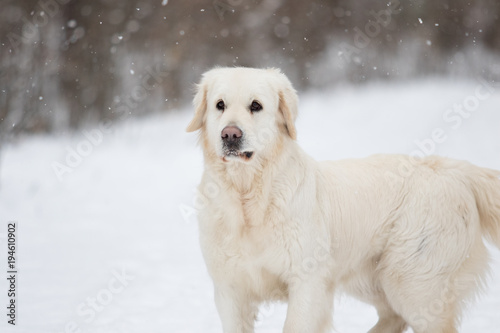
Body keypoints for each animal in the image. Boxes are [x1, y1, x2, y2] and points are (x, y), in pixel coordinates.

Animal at [187, 67, 500, 332]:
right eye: (220, 105)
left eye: (255, 106)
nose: (230, 135)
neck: (247, 196)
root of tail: (455, 168)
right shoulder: (230, 290)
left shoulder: (308, 282)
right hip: (373, 277)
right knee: (392, 316)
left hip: (414, 281)